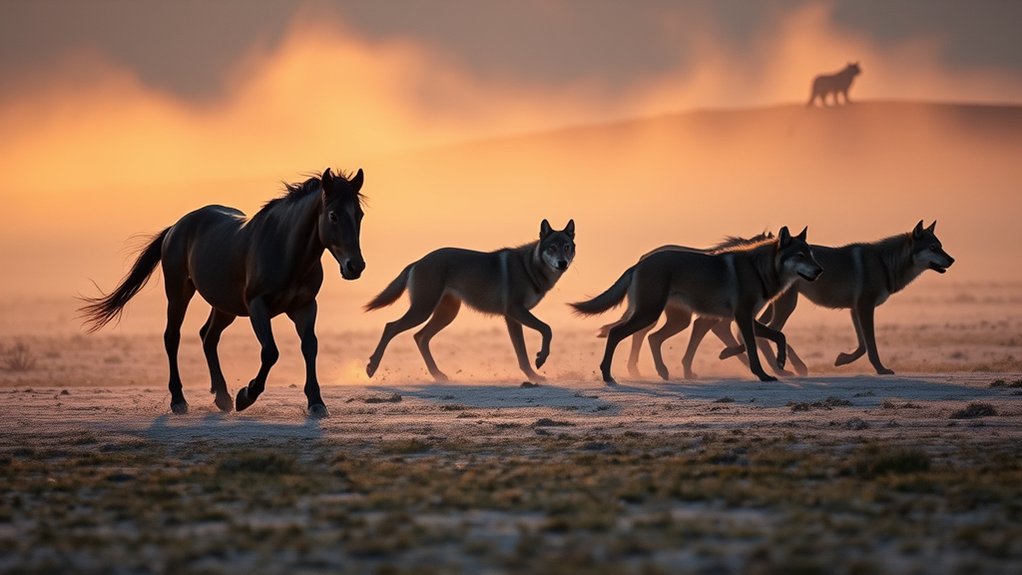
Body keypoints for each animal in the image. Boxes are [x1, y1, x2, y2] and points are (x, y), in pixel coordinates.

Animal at [79, 168, 366, 417]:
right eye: (333, 215)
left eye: (359, 214)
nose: (355, 266)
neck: (285, 250)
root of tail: (177, 227)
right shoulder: (257, 307)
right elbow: (270, 352)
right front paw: (246, 395)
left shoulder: (305, 307)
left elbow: (310, 347)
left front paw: (316, 403)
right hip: (179, 294)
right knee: (173, 337)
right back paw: (179, 400)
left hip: (224, 306)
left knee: (208, 337)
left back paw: (222, 397)